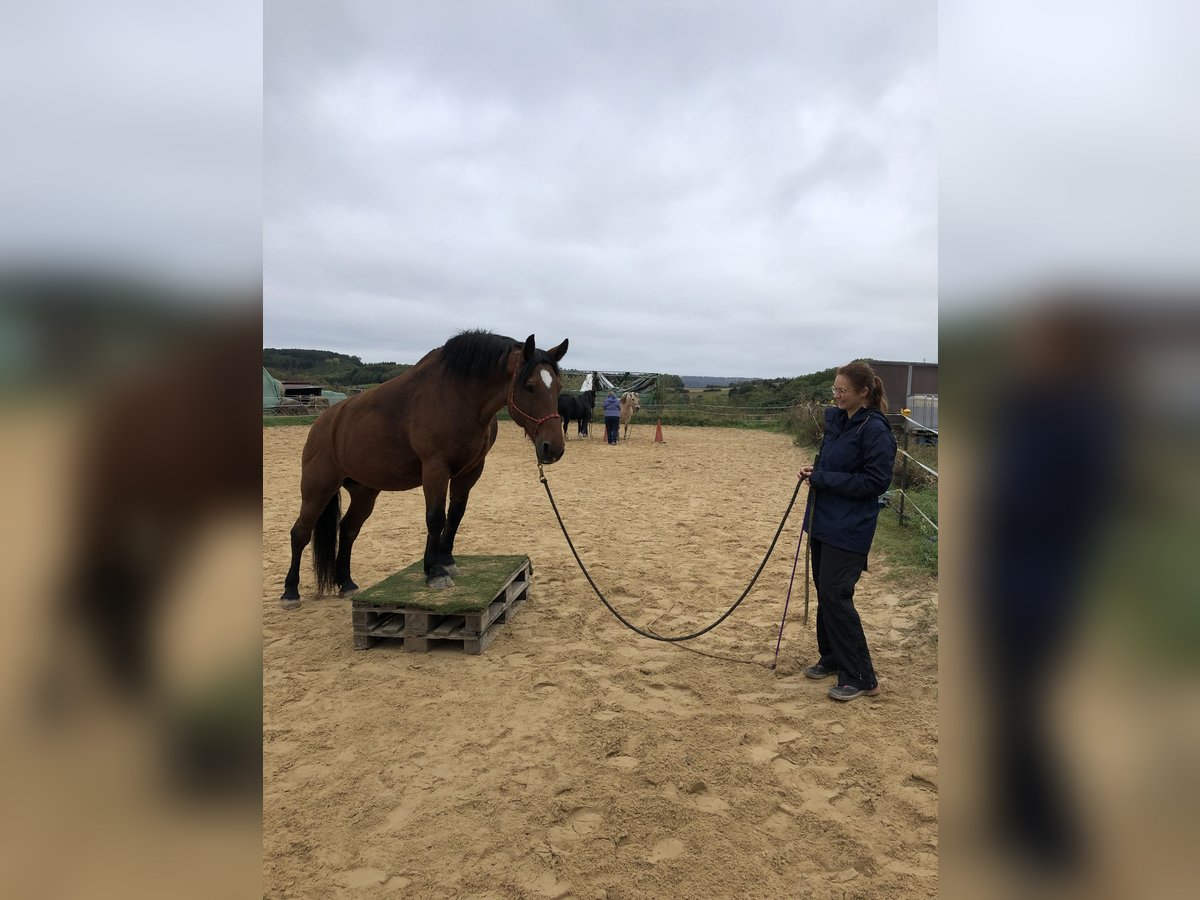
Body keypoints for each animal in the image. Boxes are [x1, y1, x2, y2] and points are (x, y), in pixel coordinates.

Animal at [278, 328, 568, 609]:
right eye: (529, 387)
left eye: (558, 387)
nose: (553, 448)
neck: (458, 397)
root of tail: (324, 422)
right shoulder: (435, 469)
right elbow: (435, 517)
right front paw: (435, 572)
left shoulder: (470, 471)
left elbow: (455, 514)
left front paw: (447, 561)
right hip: (318, 487)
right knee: (300, 532)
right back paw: (290, 592)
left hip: (364, 492)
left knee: (348, 529)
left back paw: (346, 583)